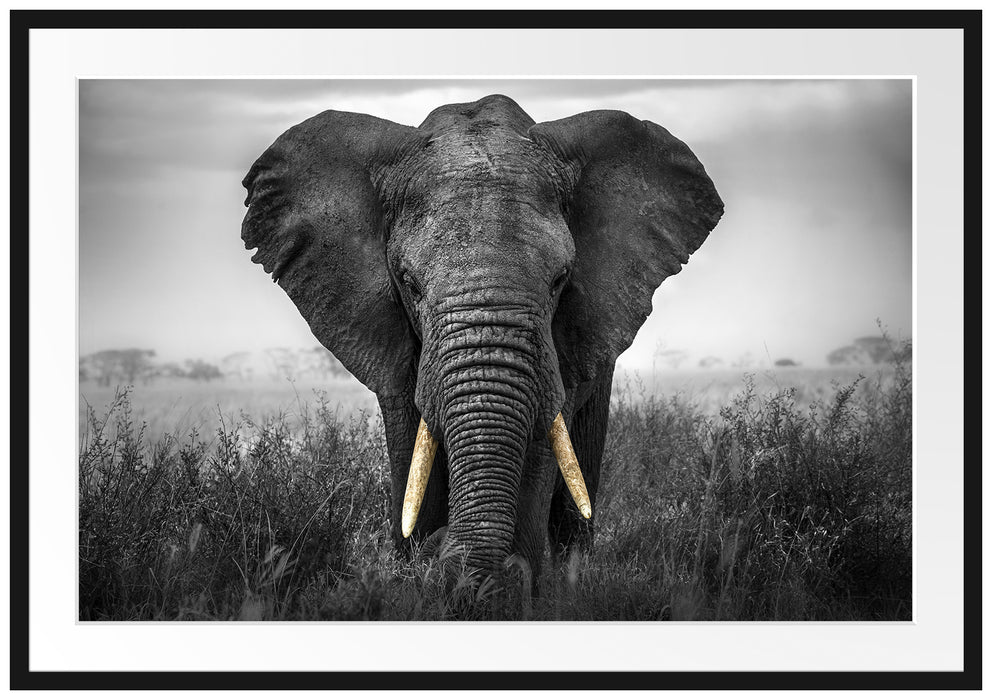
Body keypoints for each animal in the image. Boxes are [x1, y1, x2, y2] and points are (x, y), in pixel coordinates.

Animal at [241, 94, 723, 582]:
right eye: (409, 283)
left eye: (560, 280)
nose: (441, 550)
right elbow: (411, 441)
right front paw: (418, 569)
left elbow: (542, 438)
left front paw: (511, 580)